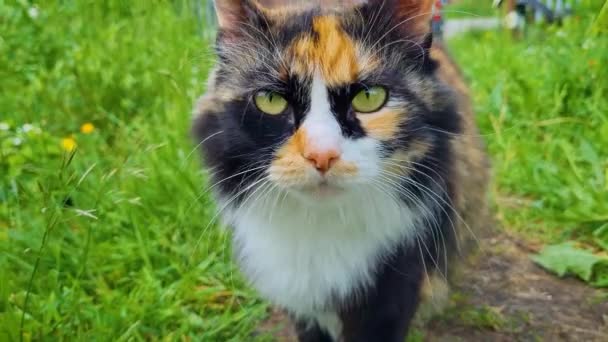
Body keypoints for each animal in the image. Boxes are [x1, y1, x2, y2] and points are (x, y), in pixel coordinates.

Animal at [194, 1, 490, 340]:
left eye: (369, 97)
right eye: (270, 100)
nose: (321, 156)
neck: (318, 227)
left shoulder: (394, 291)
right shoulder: (301, 301)